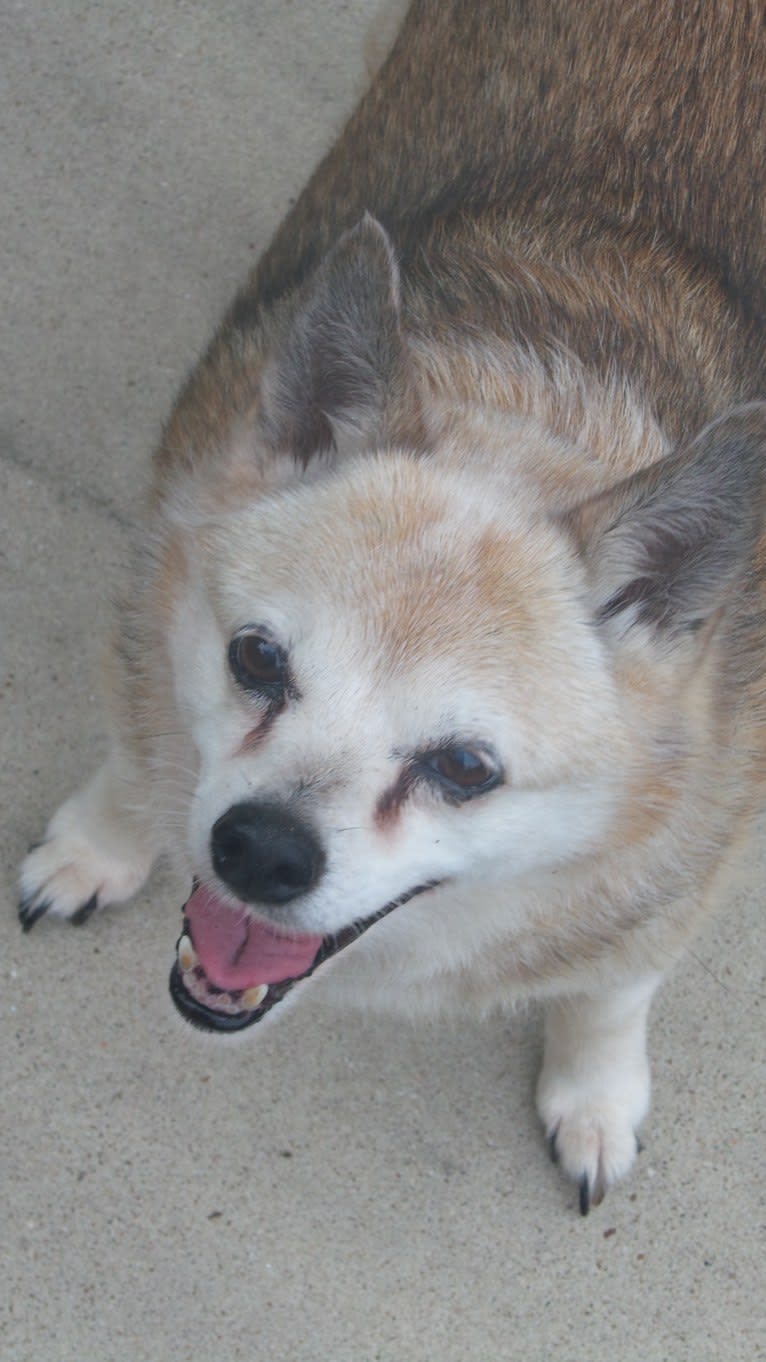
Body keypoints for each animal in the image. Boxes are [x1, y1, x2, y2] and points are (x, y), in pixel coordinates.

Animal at [16, 0, 763, 1214]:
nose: (260, 851)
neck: (532, 415)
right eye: (256, 659)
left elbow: (614, 984)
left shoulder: (695, 846)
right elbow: (137, 759)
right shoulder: (151, 592)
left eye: (465, 768)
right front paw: (100, 846)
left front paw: (596, 1091)